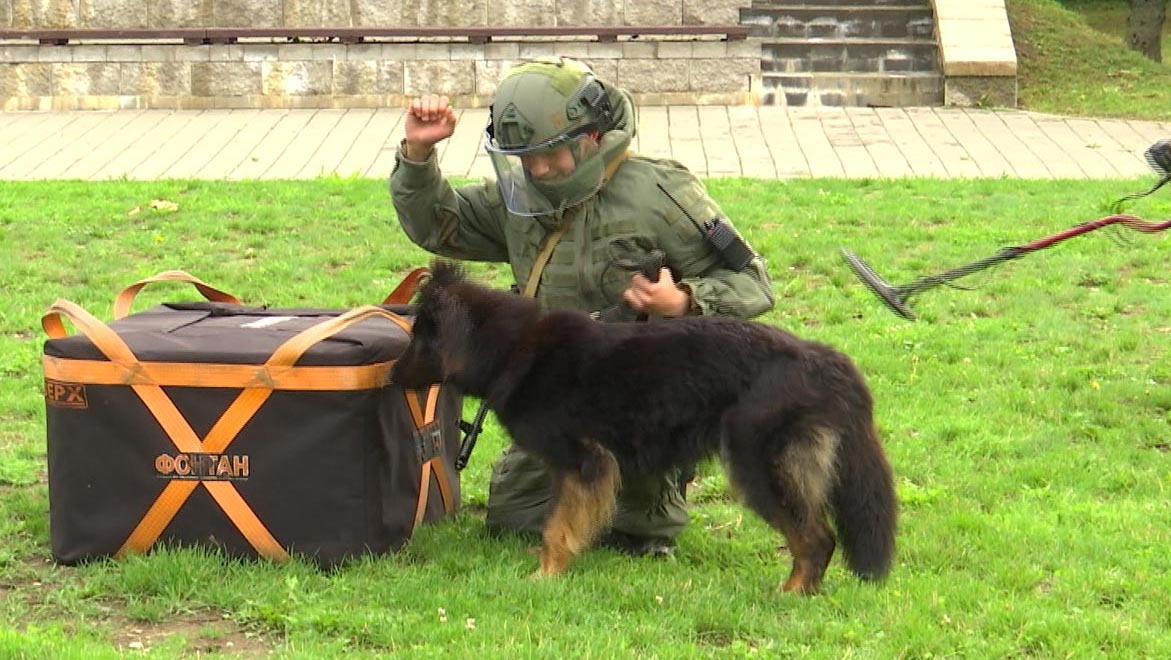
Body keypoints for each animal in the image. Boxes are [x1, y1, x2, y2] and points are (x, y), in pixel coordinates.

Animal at [393, 262, 894, 592]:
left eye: (417, 339)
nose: (391, 376)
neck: (513, 348)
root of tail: (823, 359)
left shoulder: (584, 463)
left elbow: (557, 526)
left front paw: (547, 574)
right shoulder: (571, 470)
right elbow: (556, 520)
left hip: (759, 469)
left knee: (815, 538)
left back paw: (791, 594)